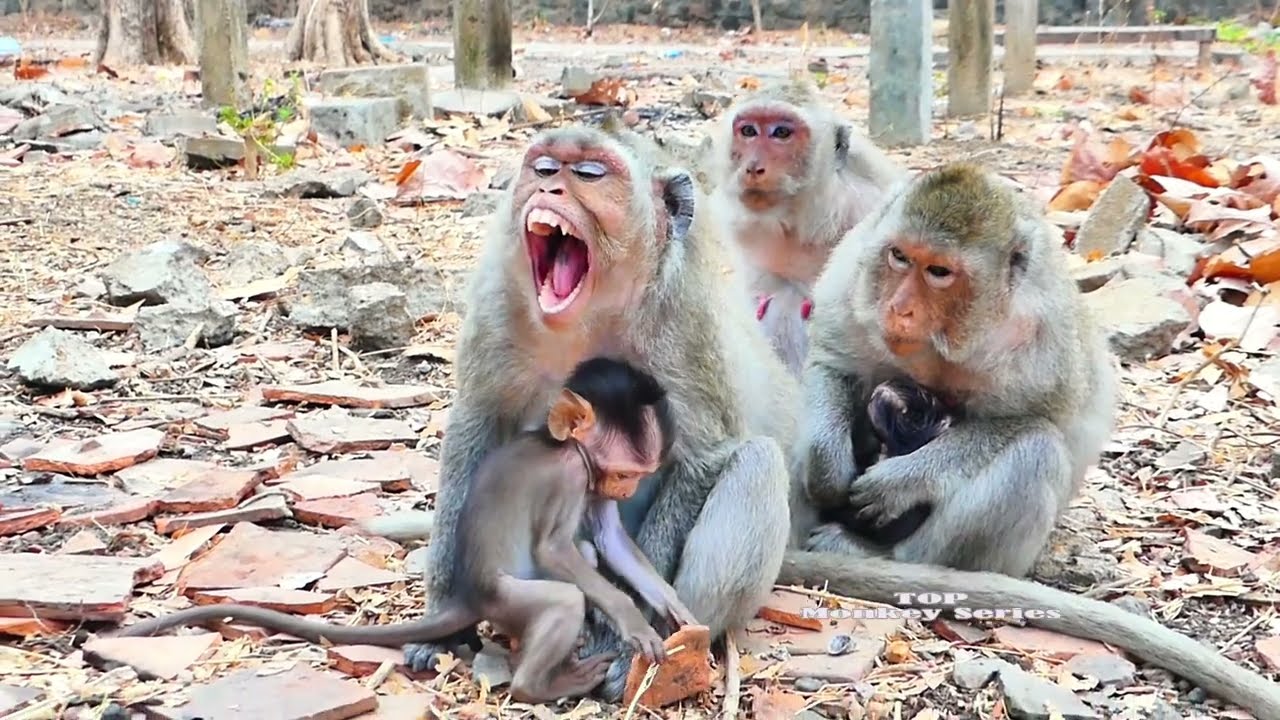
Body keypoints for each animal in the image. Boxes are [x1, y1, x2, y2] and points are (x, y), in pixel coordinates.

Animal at [115, 357, 698, 704]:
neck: (564, 447)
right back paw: (538, 684)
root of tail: (467, 596)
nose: (626, 490)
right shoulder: (572, 473)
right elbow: (554, 547)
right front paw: (630, 620)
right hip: (508, 597)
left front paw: (673, 607)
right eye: (624, 473)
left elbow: (609, 541)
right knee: (562, 598)